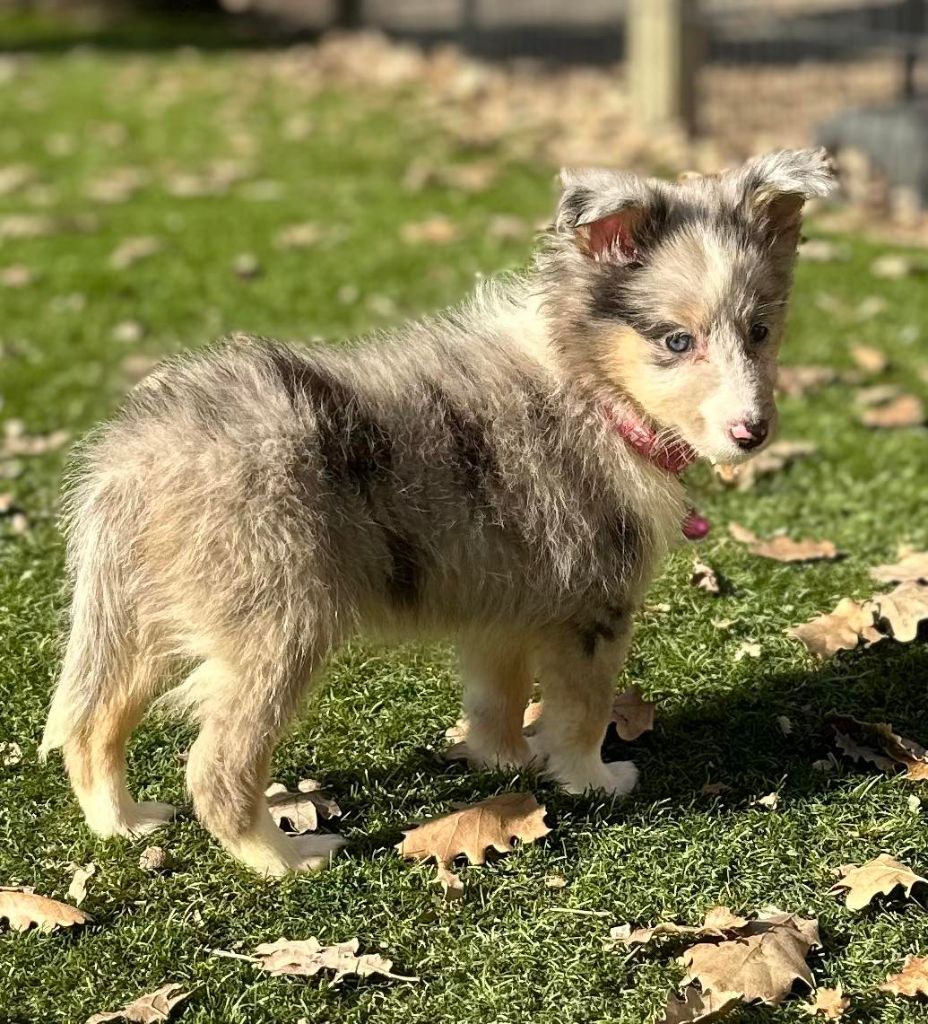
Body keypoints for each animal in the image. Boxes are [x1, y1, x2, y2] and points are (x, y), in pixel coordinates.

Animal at [41, 149, 831, 872]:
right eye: (676, 340)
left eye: (760, 330)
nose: (753, 433)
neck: (591, 387)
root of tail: (131, 459)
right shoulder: (593, 608)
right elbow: (582, 710)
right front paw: (593, 779)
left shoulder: (506, 603)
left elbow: (497, 696)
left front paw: (506, 762)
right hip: (275, 626)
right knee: (215, 766)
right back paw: (286, 857)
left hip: (150, 615)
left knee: (93, 723)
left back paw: (121, 821)